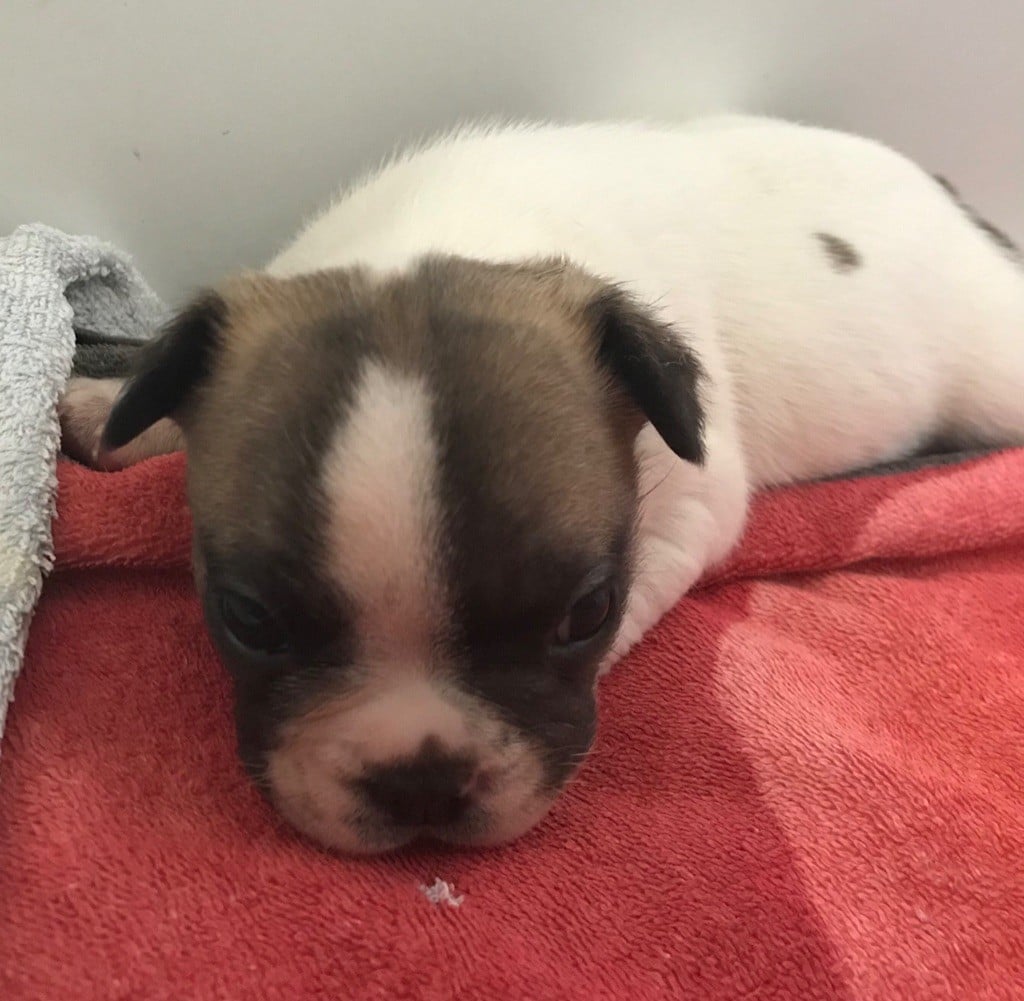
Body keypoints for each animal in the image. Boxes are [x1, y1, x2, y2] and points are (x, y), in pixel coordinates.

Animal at [58, 115, 1024, 854]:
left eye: (585, 614)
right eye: (249, 620)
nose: (421, 777)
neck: (442, 231)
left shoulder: (688, 514)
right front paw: (112, 403)